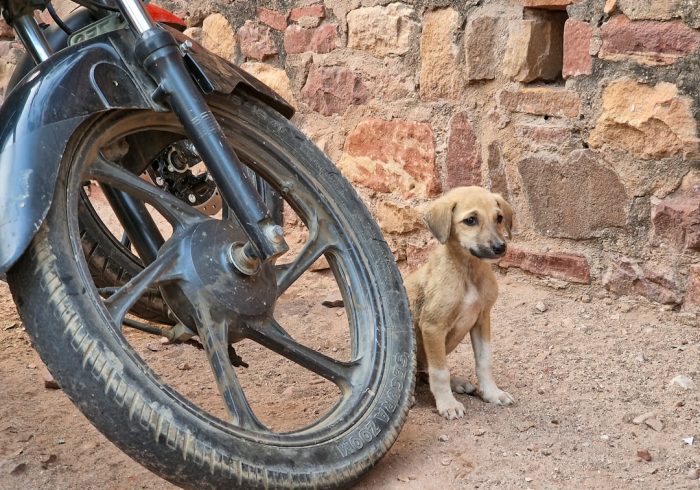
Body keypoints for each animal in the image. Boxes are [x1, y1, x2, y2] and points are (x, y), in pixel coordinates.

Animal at [404, 186, 516, 420]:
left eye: (499, 218)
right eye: (470, 220)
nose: (500, 247)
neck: (468, 271)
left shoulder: (482, 320)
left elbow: (484, 361)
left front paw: (492, 393)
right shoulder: (433, 327)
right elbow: (440, 372)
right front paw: (447, 404)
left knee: (424, 371)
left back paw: (458, 383)